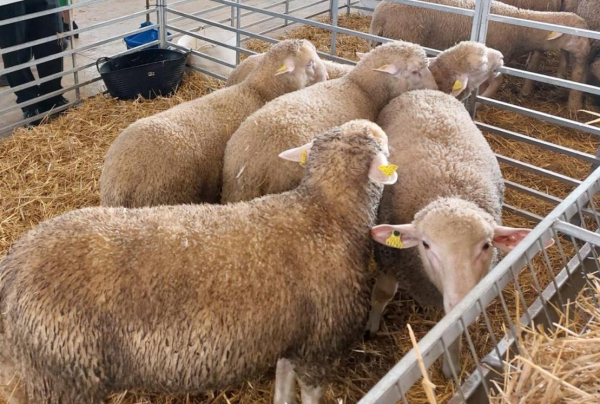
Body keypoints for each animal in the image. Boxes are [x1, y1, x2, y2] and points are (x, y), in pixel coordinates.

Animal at [0, 119, 400, 404]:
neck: (325, 213)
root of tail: (12, 268)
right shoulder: (321, 346)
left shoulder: (293, 340)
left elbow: (283, 389)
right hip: (59, 375)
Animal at [368, 88, 556, 378]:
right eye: (426, 245)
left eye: (487, 245)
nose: (460, 303)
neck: (449, 191)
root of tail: (426, 91)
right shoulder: (390, 258)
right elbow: (382, 294)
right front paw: (372, 327)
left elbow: (453, 329)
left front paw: (451, 366)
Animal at [370, 0, 592, 110]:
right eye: (578, 36)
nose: (590, 51)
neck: (520, 27)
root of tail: (381, 13)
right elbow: (495, 82)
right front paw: (482, 102)